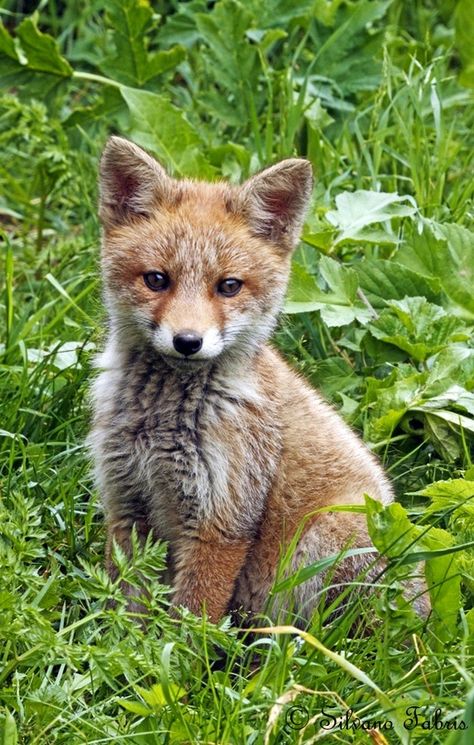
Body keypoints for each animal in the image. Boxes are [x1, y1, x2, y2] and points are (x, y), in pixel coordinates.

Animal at [90, 135, 426, 620]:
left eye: (229, 286)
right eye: (156, 280)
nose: (187, 341)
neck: (162, 426)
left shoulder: (222, 523)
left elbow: (190, 619)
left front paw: (178, 644)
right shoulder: (127, 503)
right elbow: (125, 607)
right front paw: (118, 638)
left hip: (327, 541)